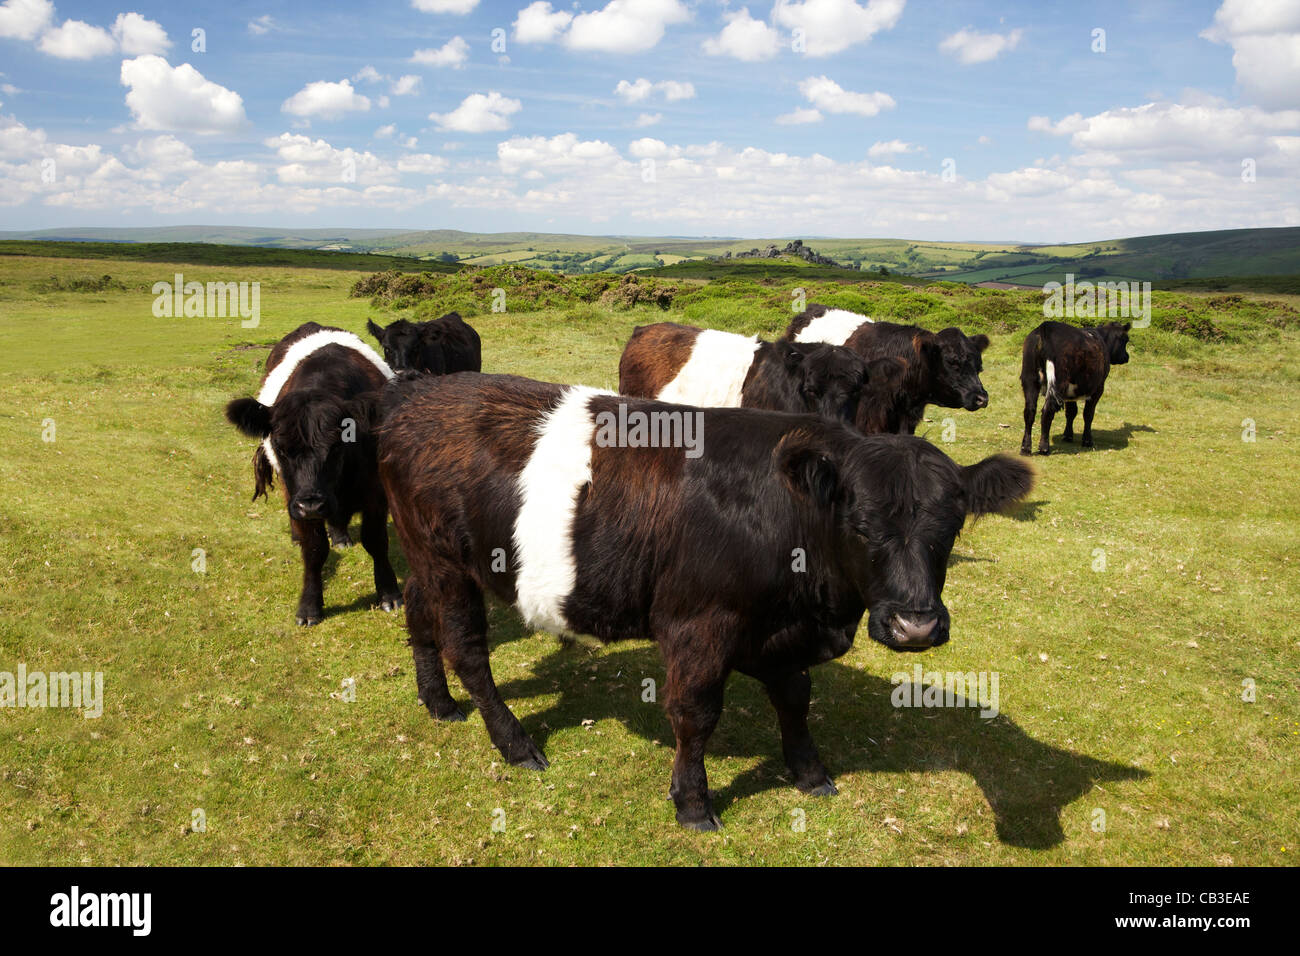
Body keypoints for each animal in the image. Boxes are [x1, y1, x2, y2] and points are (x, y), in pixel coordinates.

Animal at [226, 321, 403, 629]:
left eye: (337, 445)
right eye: (280, 447)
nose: (311, 505)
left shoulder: (375, 491)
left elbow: (376, 540)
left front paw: (388, 593)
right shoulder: (296, 495)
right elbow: (314, 549)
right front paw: (309, 606)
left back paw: (341, 535)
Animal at [377, 371, 1034, 832]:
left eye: (951, 528)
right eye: (862, 524)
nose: (915, 626)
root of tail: (414, 394)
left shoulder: (782, 633)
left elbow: (795, 699)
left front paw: (810, 773)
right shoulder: (699, 624)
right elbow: (695, 714)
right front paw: (693, 802)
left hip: (420, 556)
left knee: (417, 612)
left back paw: (437, 702)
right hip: (447, 561)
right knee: (468, 651)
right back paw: (515, 744)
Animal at [1019, 321, 1133, 455]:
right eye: (1125, 339)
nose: (1126, 356)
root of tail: (1046, 326)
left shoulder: (1070, 393)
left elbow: (1071, 412)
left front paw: (1067, 436)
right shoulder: (1098, 388)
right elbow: (1088, 414)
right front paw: (1087, 441)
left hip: (1029, 378)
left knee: (1029, 410)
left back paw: (1026, 448)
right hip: (1059, 382)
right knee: (1048, 410)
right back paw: (1044, 448)